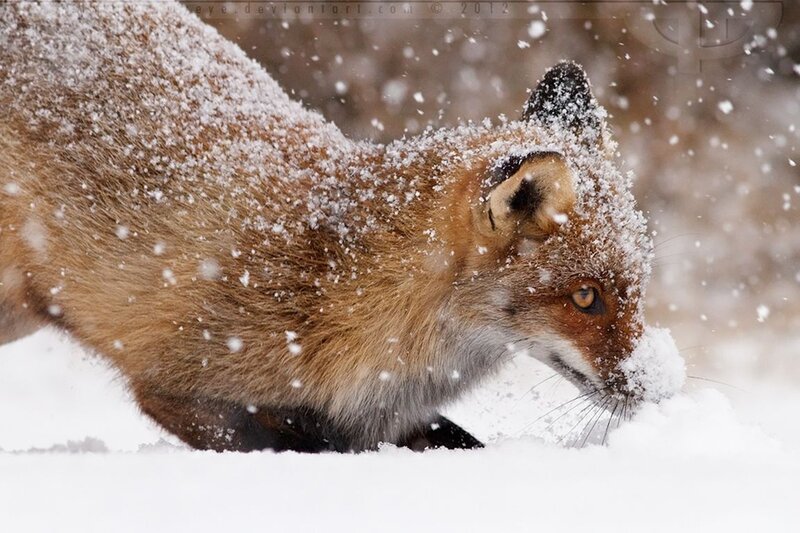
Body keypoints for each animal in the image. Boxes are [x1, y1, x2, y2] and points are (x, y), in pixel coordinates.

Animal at [0, 1, 681, 452]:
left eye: (636, 290)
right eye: (586, 298)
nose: (660, 388)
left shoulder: (386, 418)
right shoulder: (180, 388)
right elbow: (294, 445)